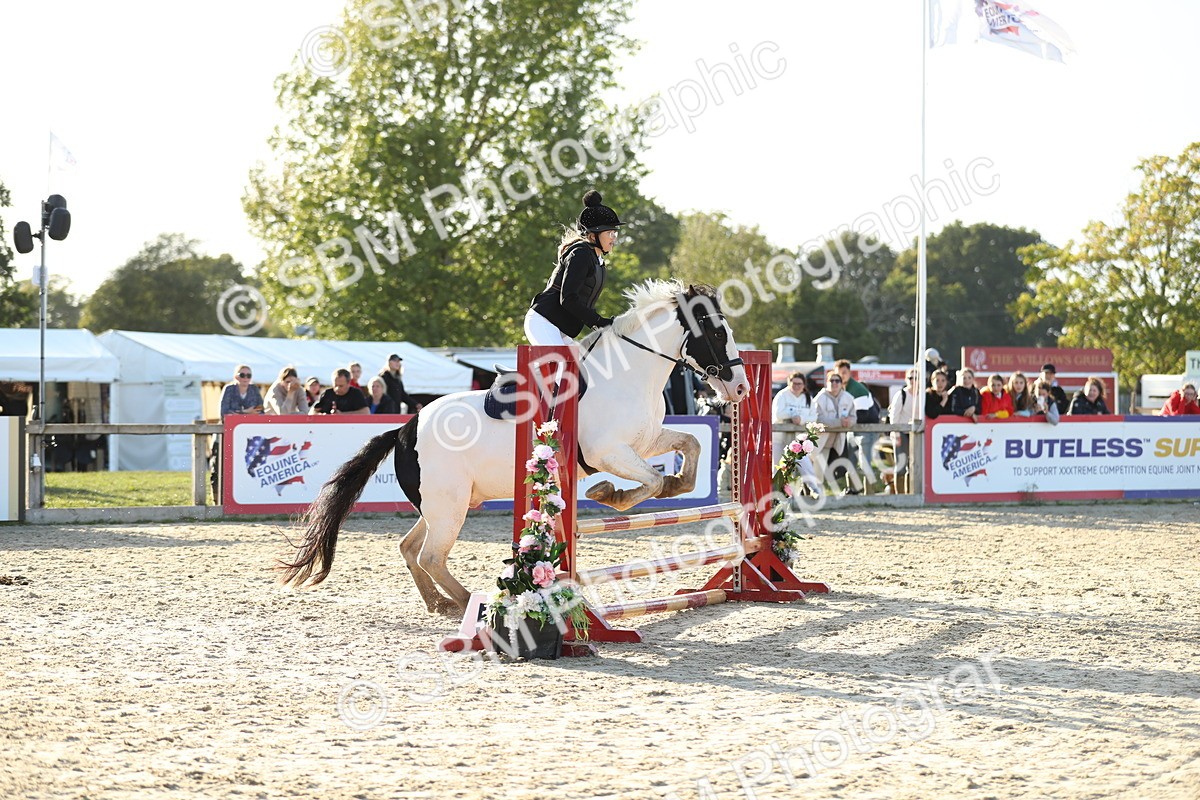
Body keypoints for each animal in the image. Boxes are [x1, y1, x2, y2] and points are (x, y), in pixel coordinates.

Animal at [278, 279, 750, 614]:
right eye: (714, 332)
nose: (741, 388)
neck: (629, 374)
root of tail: (405, 428)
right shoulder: (609, 453)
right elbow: (648, 482)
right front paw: (609, 494)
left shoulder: (646, 441)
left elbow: (688, 449)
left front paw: (674, 485)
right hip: (448, 506)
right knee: (431, 555)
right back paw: (467, 602)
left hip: (446, 505)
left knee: (412, 548)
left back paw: (439, 603)